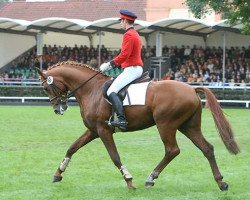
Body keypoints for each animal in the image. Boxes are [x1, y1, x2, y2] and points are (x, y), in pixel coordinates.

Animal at [36, 61, 239, 191]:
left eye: (46, 88)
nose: (58, 109)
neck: (91, 89)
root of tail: (191, 88)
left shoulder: (103, 131)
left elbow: (115, 157)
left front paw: (129, 181)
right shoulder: (93, 130)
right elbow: (72, 148)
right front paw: (58, 174)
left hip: (165, 124)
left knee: (172, 150)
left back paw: (150, 178)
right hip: (188, 126)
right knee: (207, 148)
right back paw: (221, 183)